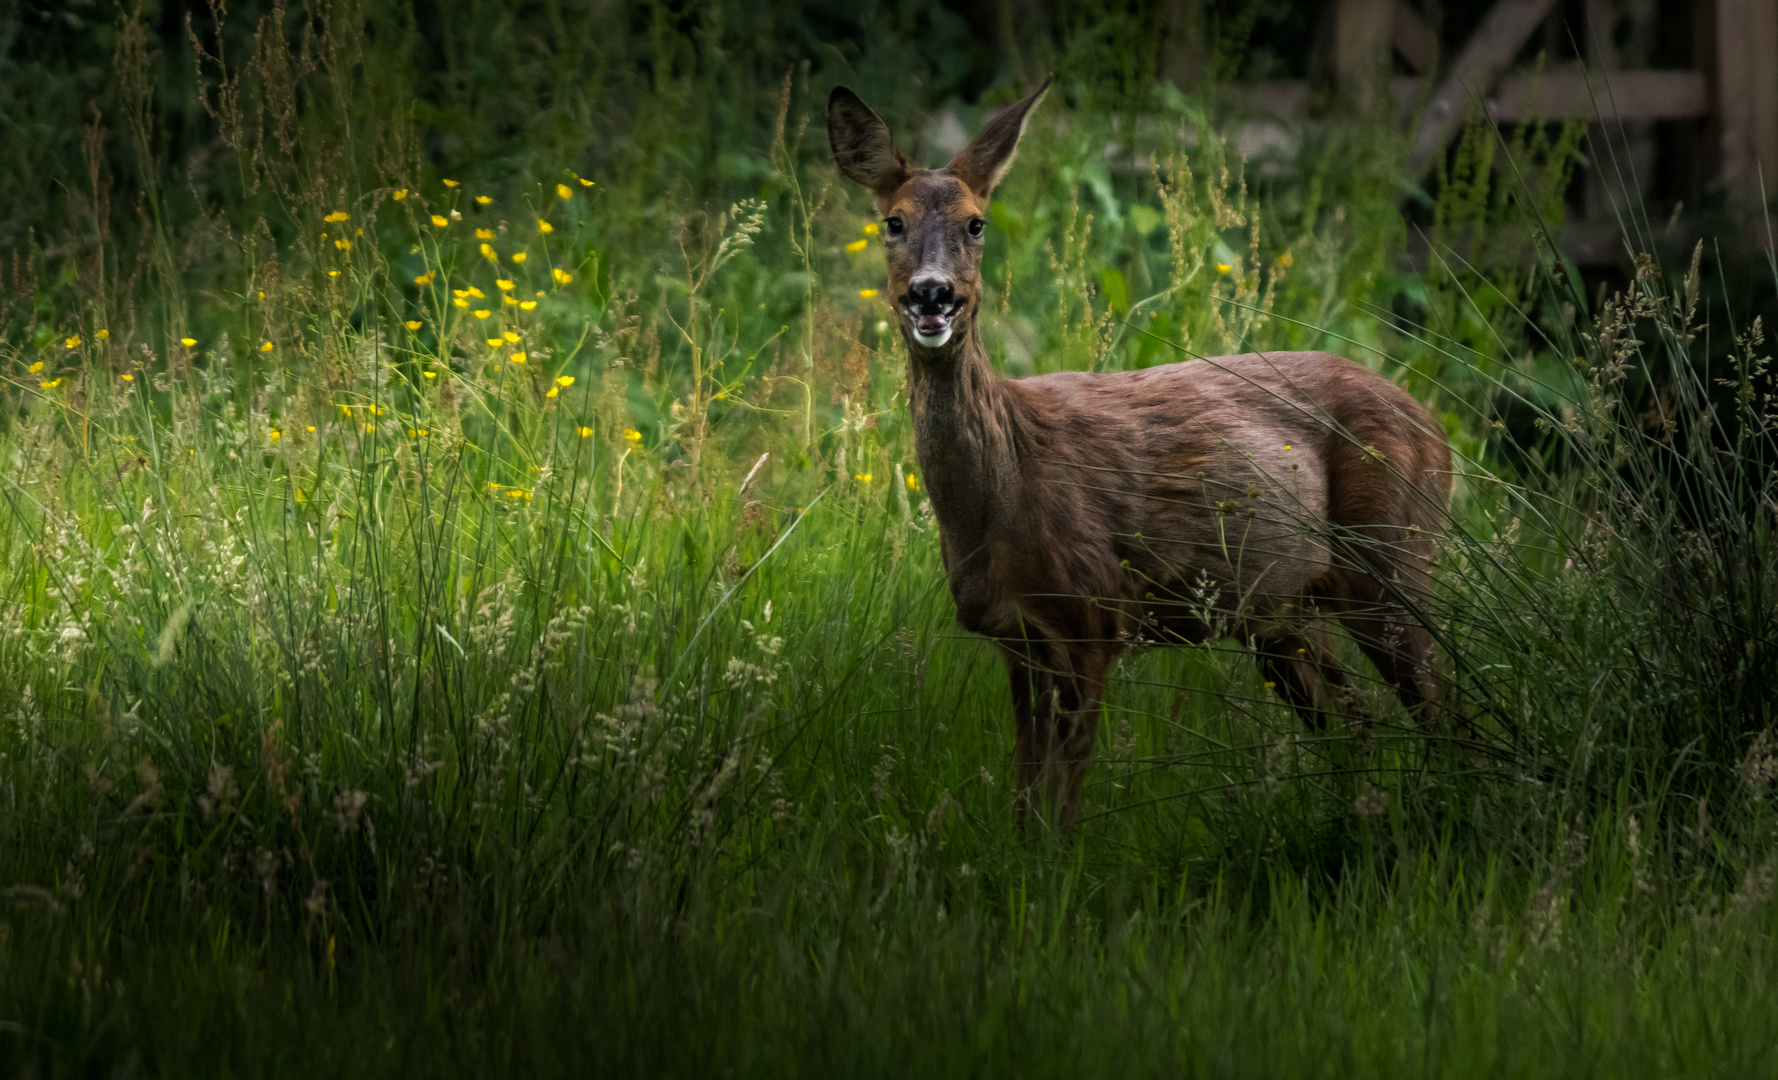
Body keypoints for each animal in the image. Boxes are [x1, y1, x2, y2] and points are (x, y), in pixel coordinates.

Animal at [824, 80, 1450, 832]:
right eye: (892, 222)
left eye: (977, 224)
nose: (932, 294)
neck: (1001, 496)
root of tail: (1433, 425)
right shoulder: (1018, 641)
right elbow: (1024, 803)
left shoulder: (1093, 616)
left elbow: (1063, 811)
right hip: (1283, 610)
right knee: (1356, 720)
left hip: (1393, 553)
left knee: (1443, 707)